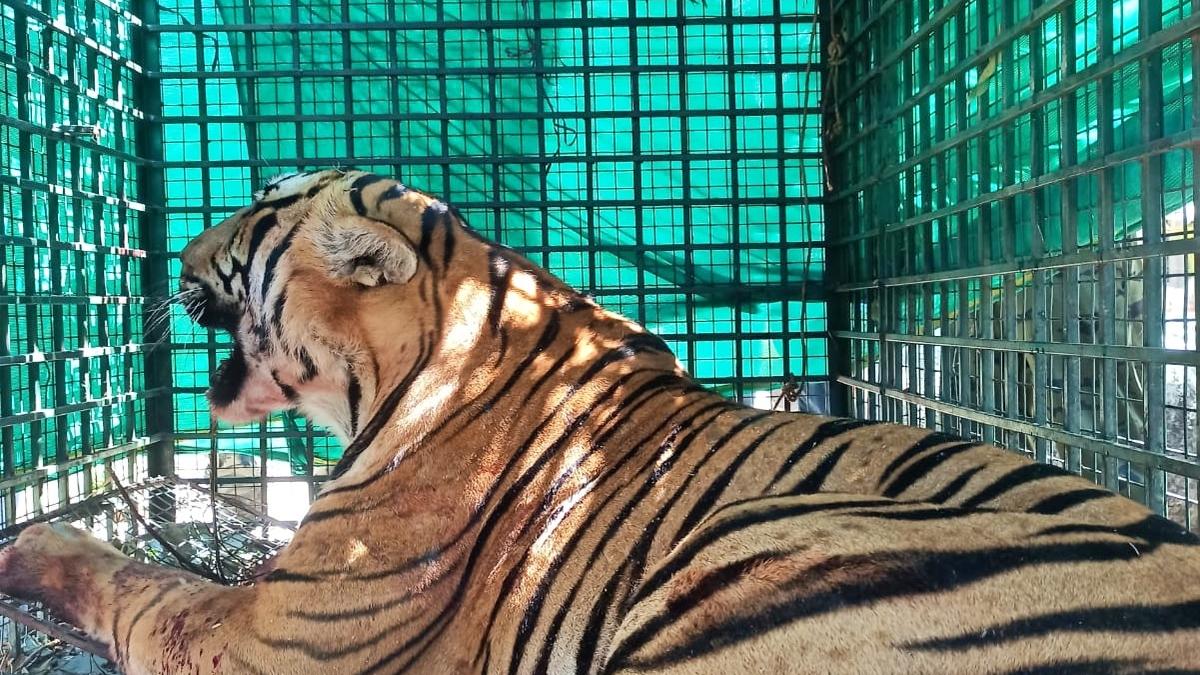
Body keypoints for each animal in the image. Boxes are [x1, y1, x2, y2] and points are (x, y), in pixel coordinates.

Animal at [1, 169, 1198, 675]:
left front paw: (31, 541)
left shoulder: (270, 640)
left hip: (763, 554)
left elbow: (147, 589)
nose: (173, 253)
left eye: (253, 218)